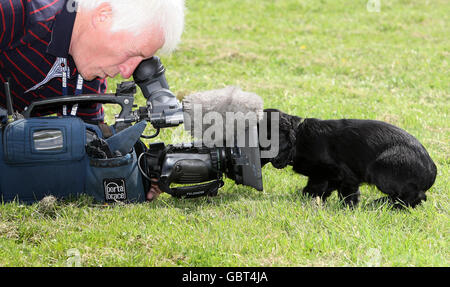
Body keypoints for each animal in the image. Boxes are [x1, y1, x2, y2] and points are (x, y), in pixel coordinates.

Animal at [262, 109, 438, 208]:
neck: (299, 138)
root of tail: (432, 171)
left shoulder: (344, 173)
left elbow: (347, 193)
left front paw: (348, 208)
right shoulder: (321, 176)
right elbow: (315, 189)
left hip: (381, 167)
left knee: (416, 196)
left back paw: (381, 204)